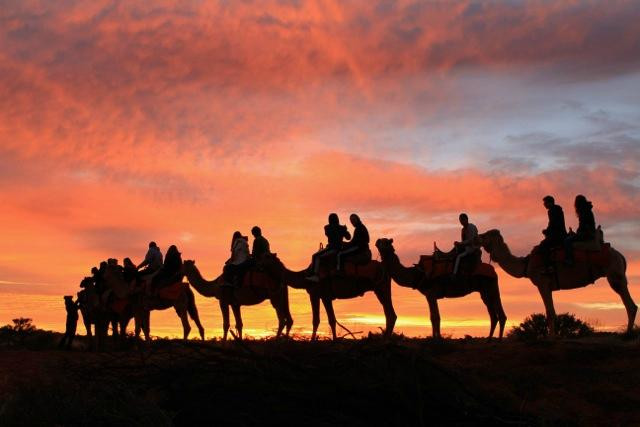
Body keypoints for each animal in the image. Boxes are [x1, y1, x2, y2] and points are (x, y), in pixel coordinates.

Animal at [376, 237, 504, 342]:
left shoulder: (431, 293)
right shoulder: (429, 295)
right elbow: (433, 317)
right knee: (493, 315)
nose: (377, 241)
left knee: (500, 313)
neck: (418, 274)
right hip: (485, 291)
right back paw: (489, 339)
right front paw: (435, 338)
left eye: (386, 242)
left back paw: (498, 341)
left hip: (489, 287)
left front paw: (437, 340)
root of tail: (493, 271)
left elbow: (435, 317)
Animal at [476, 229, 636, 336]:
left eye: (486, 235)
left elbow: (550, 312)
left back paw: (628, 335)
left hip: (614, 274)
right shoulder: (549, 286)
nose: (477, 237)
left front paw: (551, 338)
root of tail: (621, 255)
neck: (526, 265)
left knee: (630, 304)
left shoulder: (542, 283)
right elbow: (552, 311)